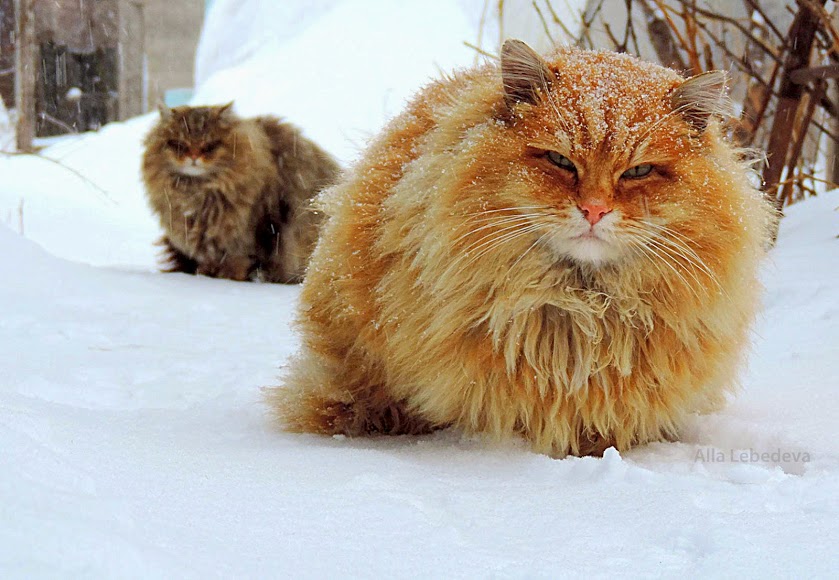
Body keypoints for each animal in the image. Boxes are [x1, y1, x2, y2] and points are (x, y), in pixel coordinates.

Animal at [143, 105, 340, 286]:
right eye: (179, 145)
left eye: (210, 146)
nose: (193, 157)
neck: (197, 194)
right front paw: (206, 275)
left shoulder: (252, 232)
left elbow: (238, 262)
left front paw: (228, 279)